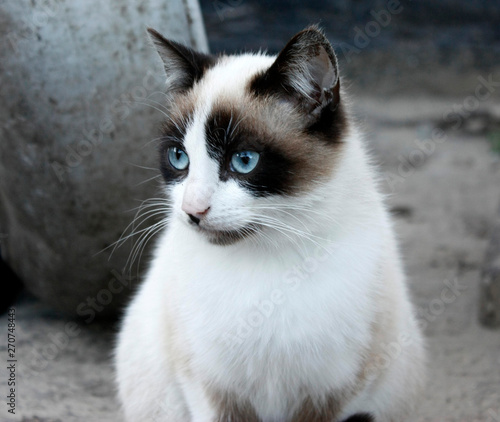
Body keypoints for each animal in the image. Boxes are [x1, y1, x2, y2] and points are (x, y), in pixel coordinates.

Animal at [114, 26, 426, 422]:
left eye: (244, 161)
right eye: (179, 157)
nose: (192, 210)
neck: (265, 266)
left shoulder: (332, 392)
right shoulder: (210, 388)